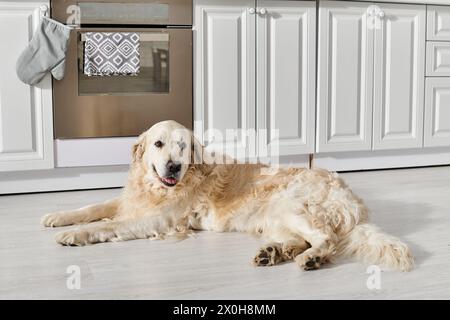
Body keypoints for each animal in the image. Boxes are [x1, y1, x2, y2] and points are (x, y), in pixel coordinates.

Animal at [40, 121, 414, 272]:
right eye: (158, 144)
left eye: (183, 146)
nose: (173, 167)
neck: (157, 189)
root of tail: (354, 204)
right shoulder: (131, 201)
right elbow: (94, 206)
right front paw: (58, 217)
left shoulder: (160, 219)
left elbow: (108, 225)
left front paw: (76, 234)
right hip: (276, 216)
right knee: (300, 240)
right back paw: (272, 253)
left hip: (292, 205)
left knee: (325, 239)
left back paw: (311, 259)